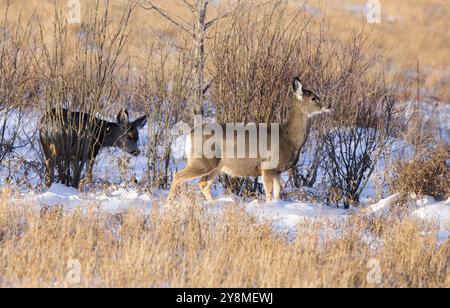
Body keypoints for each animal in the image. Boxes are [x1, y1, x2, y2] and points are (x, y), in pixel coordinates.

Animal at [168, 77, 330, 203]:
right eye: (313, 98)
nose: (328, 105)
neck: (289, 137)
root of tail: (190, 133)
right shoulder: (268, 166)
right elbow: (269, 193)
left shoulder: (277, 171)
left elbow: (278, 192)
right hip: (202, 161)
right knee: (178, 176)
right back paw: (169, 205)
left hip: (217, 166)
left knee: (203, 184)